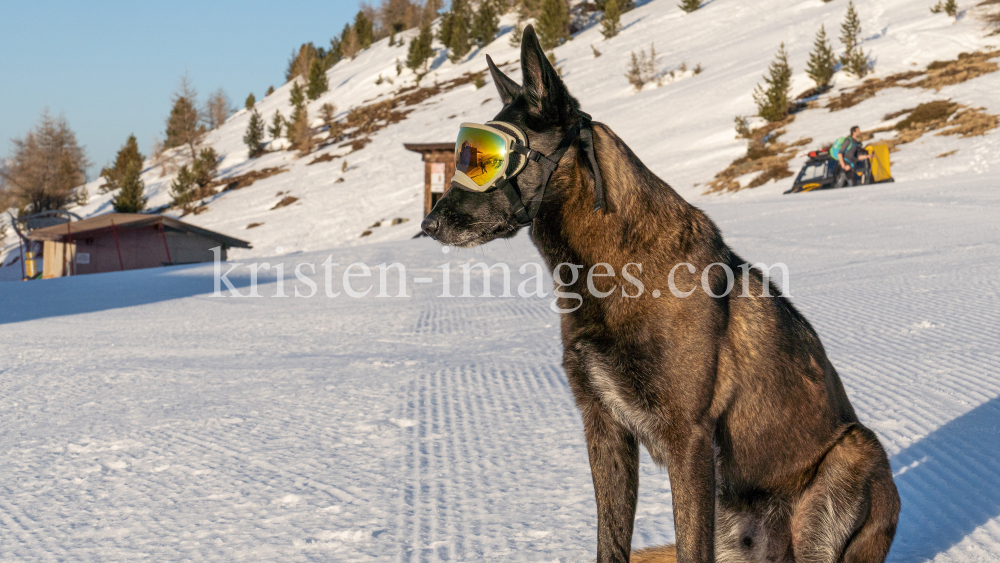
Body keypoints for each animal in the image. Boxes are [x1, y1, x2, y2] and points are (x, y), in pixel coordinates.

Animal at [418, 25, 904, 563]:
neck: (612, 270)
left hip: (851, 457)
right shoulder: (604, 428)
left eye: (487, 160)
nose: (428, 224)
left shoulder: (687, 439)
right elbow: (611, 543)